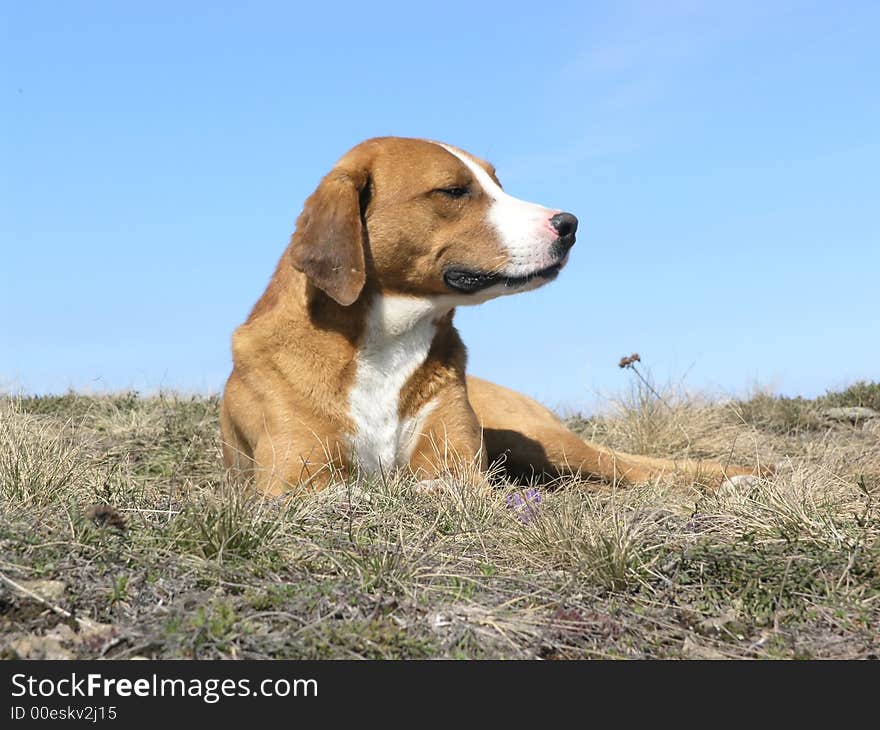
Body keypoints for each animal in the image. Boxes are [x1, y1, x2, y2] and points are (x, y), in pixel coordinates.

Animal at [222, 135, 764, 494]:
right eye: (453, 191)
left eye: (497, 183)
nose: (570, 224)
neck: (386, 345)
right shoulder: (295, 479)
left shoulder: (458, 465)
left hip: (545, 443)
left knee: (637, 470)